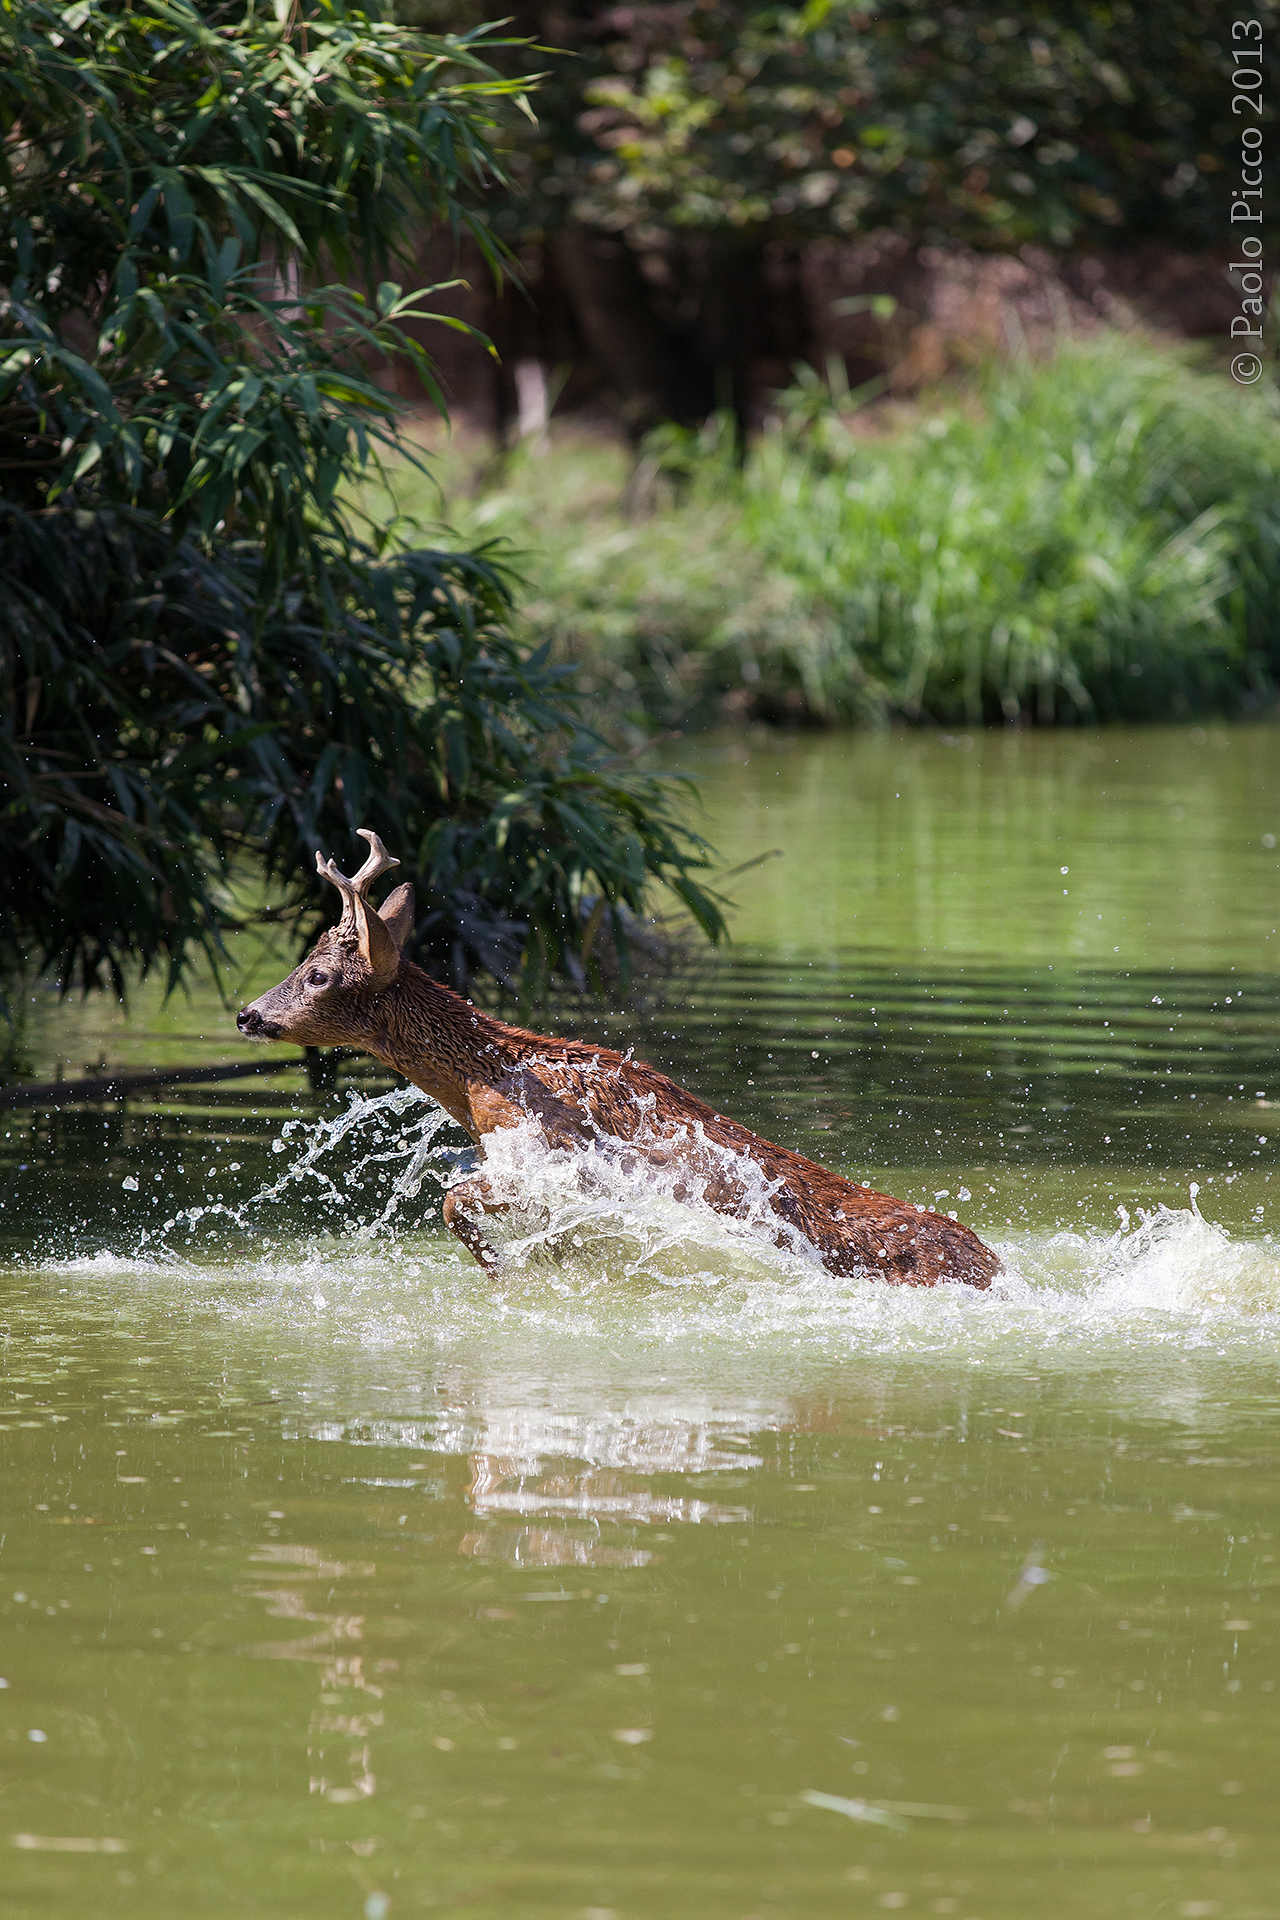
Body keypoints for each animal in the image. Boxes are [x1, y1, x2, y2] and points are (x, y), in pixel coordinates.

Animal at [236, 831, 1000, 1289]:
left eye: (318, 976)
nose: (248, 1014)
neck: (487, 1083)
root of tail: (997, 1268)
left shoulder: (556, 1160)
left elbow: (454, 1199)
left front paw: (500, 1268)